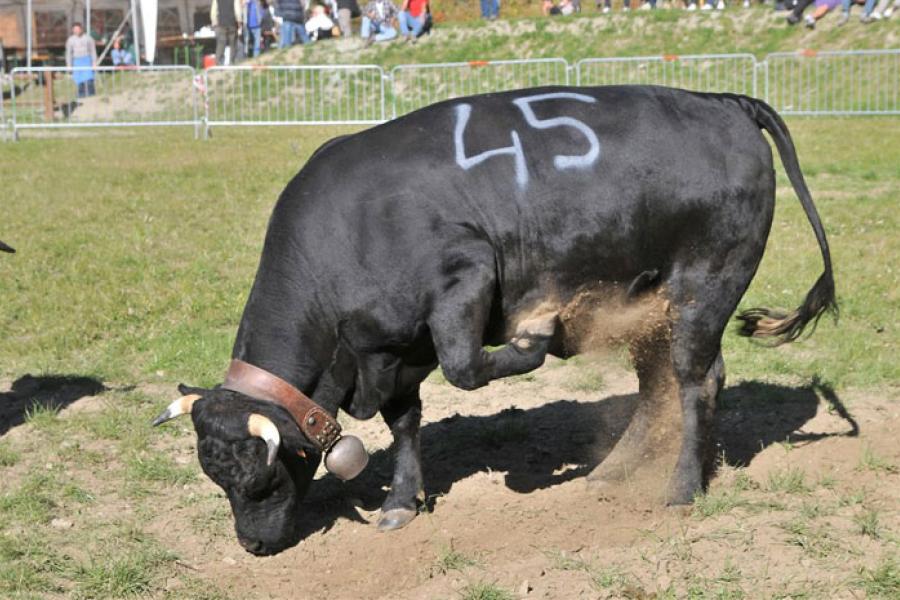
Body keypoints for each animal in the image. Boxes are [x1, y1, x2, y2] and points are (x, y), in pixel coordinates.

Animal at [160, 84, 836, 552]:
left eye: (260, 483)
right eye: (218, 482)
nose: (253, 545)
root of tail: (722, 102)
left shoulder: (467, 275)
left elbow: (464, 368)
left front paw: (534, 337)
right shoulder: (393, 350)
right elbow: (405, 423)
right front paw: (401, 501)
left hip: (704, 290)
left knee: (695, 382)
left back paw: (681, 488)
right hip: (653, 306)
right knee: (659, 386)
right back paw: (612, 472)